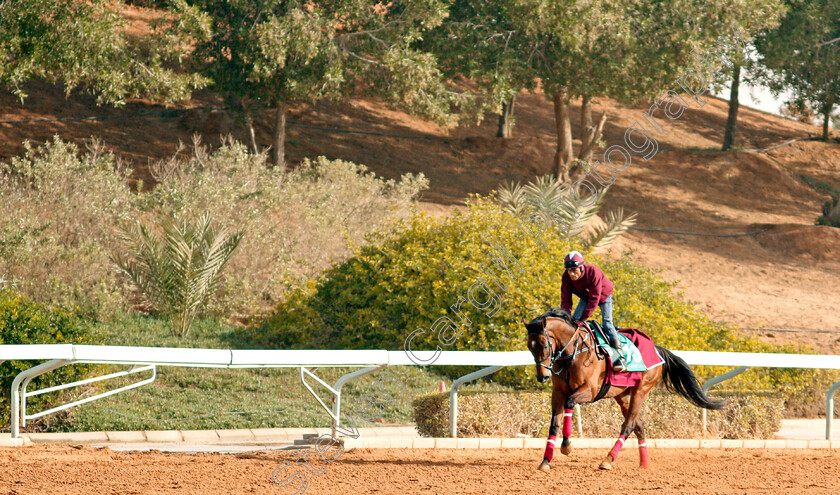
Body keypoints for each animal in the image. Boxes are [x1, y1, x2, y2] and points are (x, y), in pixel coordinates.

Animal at [524, 310, 720, 472]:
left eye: (544, 344)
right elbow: (554, 424)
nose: (542, 376)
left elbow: (570, 402)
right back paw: (644, 463)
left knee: (629, 425)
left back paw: (608, 460)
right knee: (639, 426)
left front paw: (567, 445)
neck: (573, 353)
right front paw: (545, 461)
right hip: (622, 395)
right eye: (529, 346)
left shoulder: (589, 391)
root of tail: (656, 349)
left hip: (641, 390)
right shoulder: (558, 392)